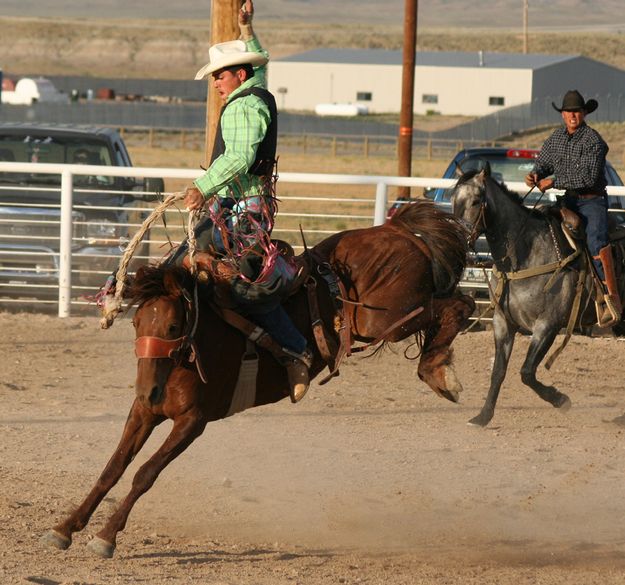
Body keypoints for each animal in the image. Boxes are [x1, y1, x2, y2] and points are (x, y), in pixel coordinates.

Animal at [40, 201, 472, 556]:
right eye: (136, 323)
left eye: (175, 324)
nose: (150, 389)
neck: (193, 348)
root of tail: (396, 229)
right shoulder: (144, 412)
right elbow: (112, 468)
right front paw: (66, 527)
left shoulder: (193, 421)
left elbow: (145, 474)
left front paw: (106, 536)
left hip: (384, 318)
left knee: (457, 304)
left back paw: (439, 372)